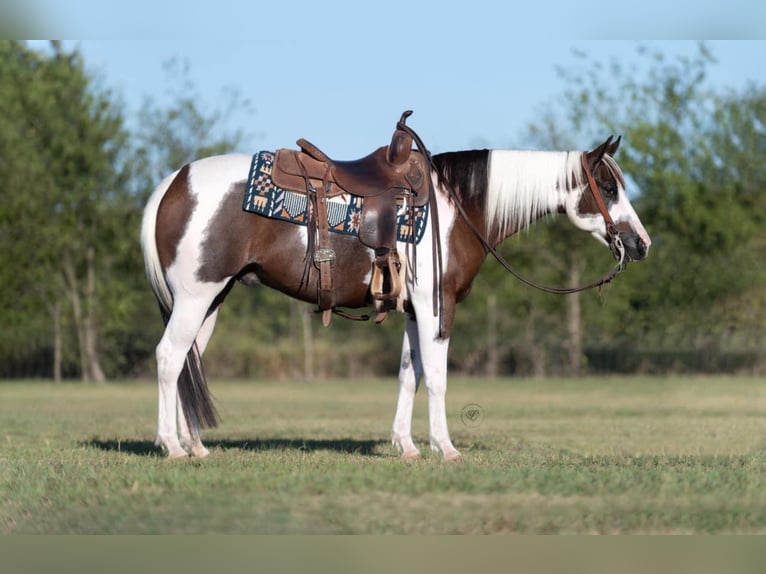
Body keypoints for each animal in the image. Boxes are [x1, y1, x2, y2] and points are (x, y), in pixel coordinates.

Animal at [141, 113, 652, 464]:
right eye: (608, 187)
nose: (640, 244)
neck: (457, 207)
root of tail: (174, 181)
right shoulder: (437, 307)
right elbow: (438, 377)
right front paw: (446, 448)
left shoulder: (411, 310)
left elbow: (411, 373)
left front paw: (406, 446)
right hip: (196, 296)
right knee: (168, 357)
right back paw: (172, 446)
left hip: (213, 299)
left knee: (189, 363)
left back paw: (198, 446)